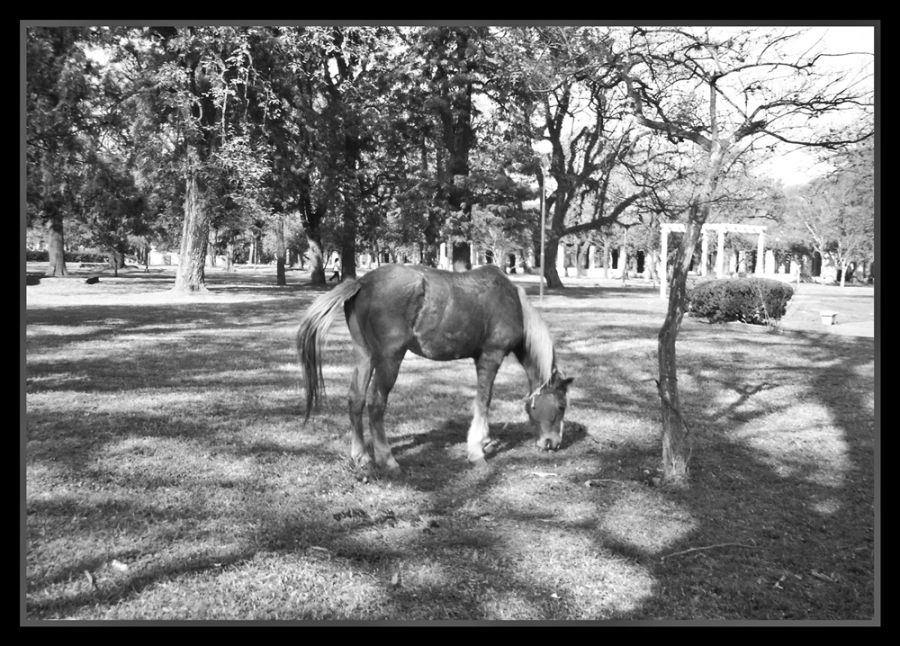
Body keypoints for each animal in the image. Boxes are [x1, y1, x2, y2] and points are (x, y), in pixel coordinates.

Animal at [298, 264, 572, 470]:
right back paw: (387, 459)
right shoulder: (490, 357)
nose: (553, 443)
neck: (511, 301)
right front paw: (477, 451)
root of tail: (363, 282)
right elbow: (484, 401)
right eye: (561, 406)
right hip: (389, 360)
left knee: (356, 399)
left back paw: (361, 456)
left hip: (365, 356)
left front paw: (484, 441)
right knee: (376, 403)